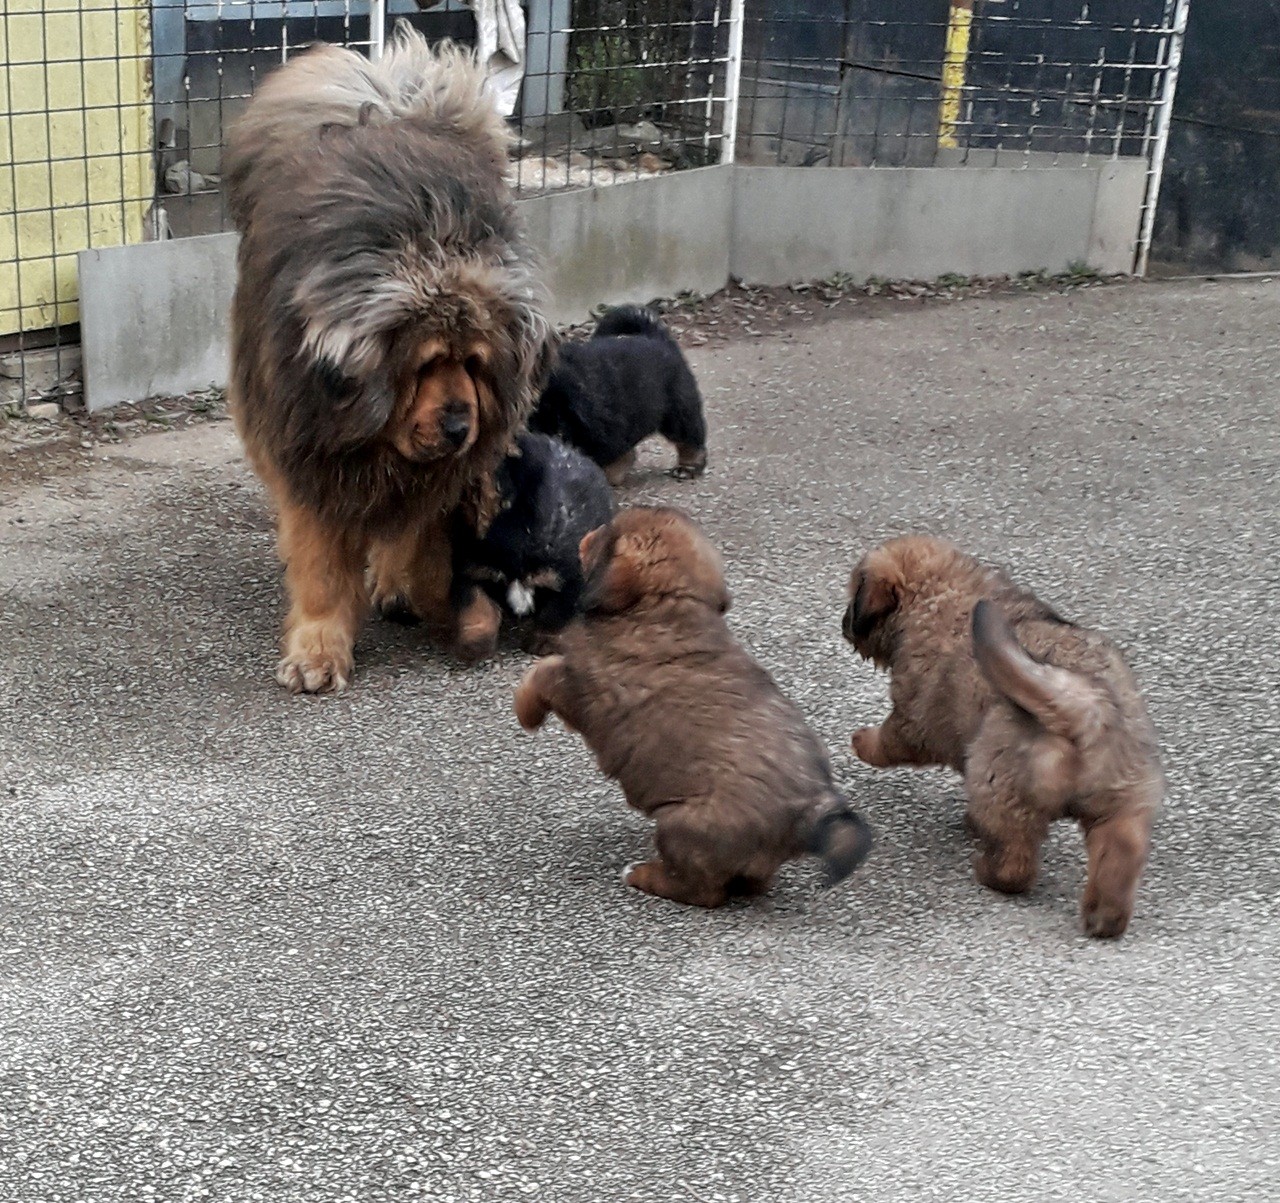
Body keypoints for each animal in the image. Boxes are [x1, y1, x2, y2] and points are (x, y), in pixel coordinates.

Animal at [223, 26, 551, 692]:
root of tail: (389, 108)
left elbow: (428, 546)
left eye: (475, 364)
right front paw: (319, 650)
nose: (459, 424)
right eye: (424, 364)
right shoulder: (312, 456)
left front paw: (442, 604)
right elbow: (323, 563)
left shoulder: (449, 476)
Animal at [448, 431, 616, 658]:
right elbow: (478, 606)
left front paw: (544, 642)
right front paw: (475, 642)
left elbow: (554, 615)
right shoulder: (472, 571)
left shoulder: (568, 581)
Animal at [515, 506, 873, 906]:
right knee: (750, 883)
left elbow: (542, 673)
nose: (585, 536)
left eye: (608, 532)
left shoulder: (581, 689)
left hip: (680, 827)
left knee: (702, 891)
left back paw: (642, 874)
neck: (667, 604)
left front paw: (526, 713)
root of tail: (804, 817)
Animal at [842, 535, 1163, 938]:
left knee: (1016, 862)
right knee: (1120, 854)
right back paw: (1105, 917)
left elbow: (889, 739)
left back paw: (988, 871)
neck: (943, 594)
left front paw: (861, 741)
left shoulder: (913, 716)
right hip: (1123, 802)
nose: (843, 624)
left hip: (998, 779)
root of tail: (1084, 707)